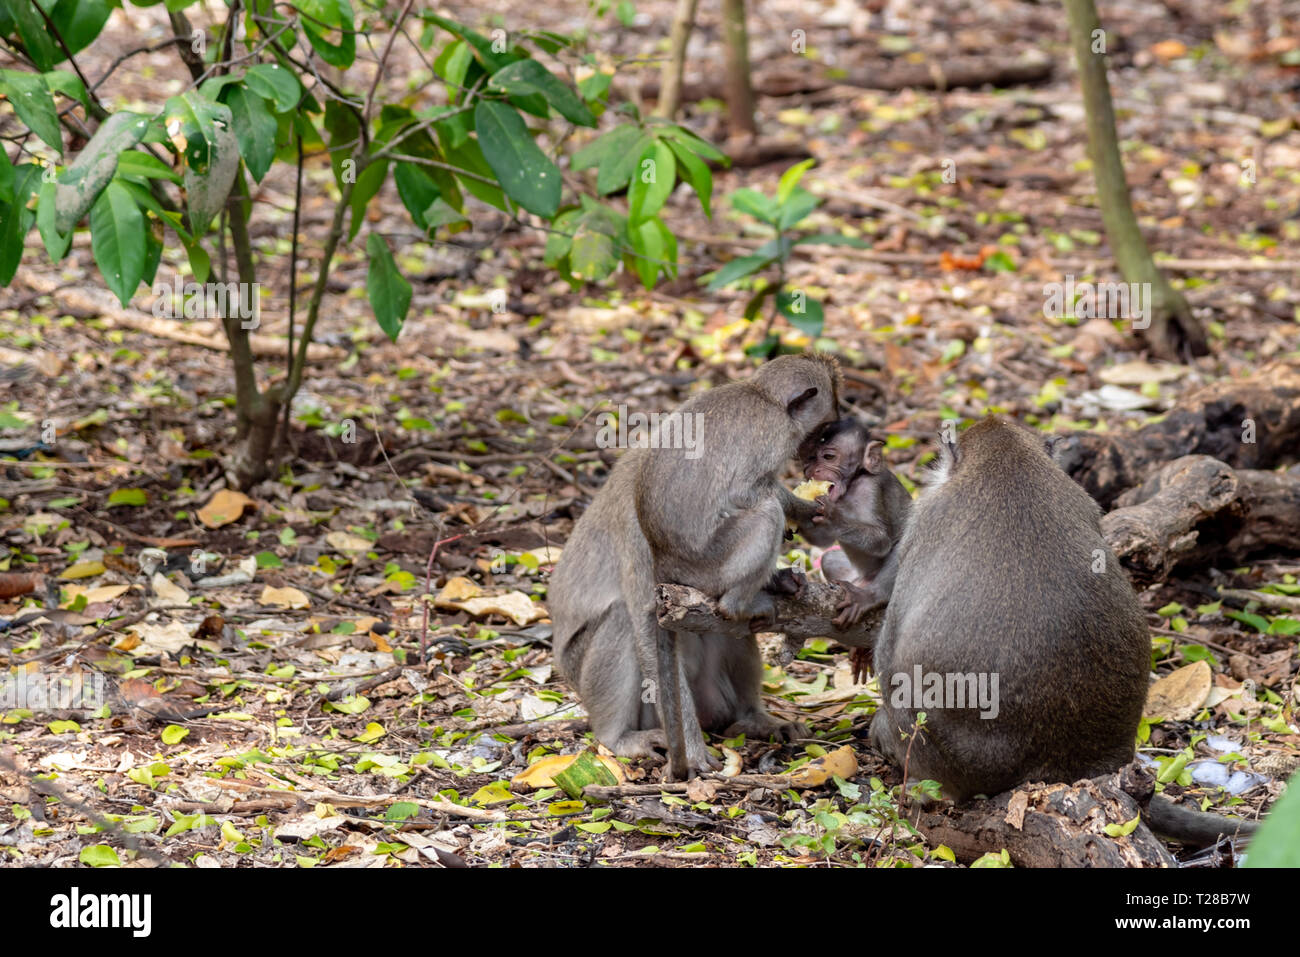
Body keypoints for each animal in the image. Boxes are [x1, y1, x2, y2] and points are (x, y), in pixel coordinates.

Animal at [549, 354, 841, 780]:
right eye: (821, 433)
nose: (812, 459)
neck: (762, 396)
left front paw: (784, 574)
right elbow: (645, 624)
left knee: (730, 632)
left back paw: (752, 718)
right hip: (706, 569)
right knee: (625, 619)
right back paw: (618, 736)